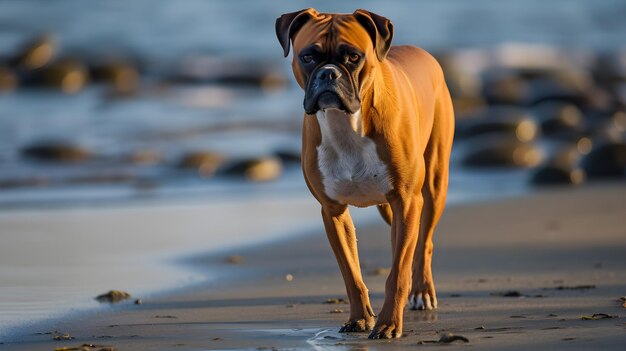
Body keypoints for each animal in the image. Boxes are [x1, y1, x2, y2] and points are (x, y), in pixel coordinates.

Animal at [276, 7, 450, 338]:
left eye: (353, 57)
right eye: (308, 57)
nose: (329, 73)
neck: (345, 123)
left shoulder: (407, 200)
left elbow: (398, 272)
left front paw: (388, 323)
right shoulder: (333, 212)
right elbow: (351, 273)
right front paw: (360, 317)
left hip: (433, 187)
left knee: (424, 243)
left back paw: (422, 291)